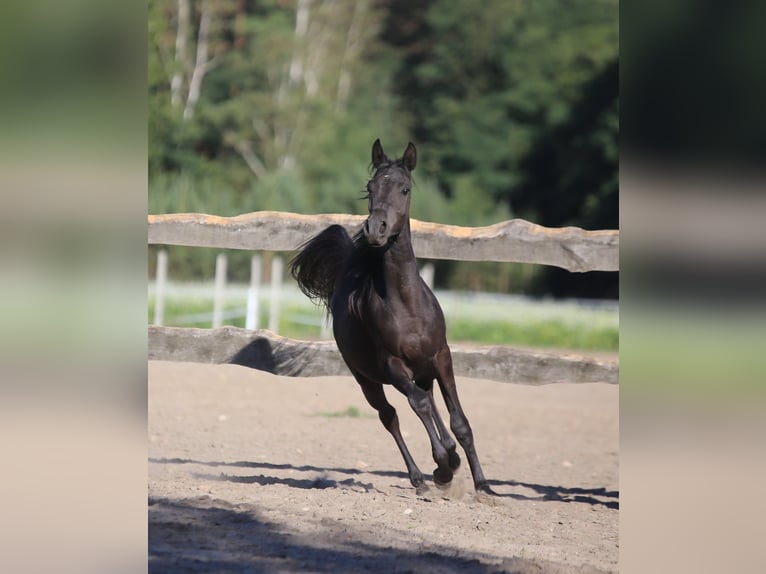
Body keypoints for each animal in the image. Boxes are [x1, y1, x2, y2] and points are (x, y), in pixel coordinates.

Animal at [289, 139, 495, 497]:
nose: (376, 229)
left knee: (429, 402)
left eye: (404, 188)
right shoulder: (392, 365)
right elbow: (417, 406)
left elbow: (459, 422)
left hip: (423, 370)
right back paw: (421, 477)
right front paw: (442, 469)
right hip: (367, 379)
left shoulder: (442, 357)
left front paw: (483, 485)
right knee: (392, 416)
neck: (407, 306)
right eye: (370, 188)